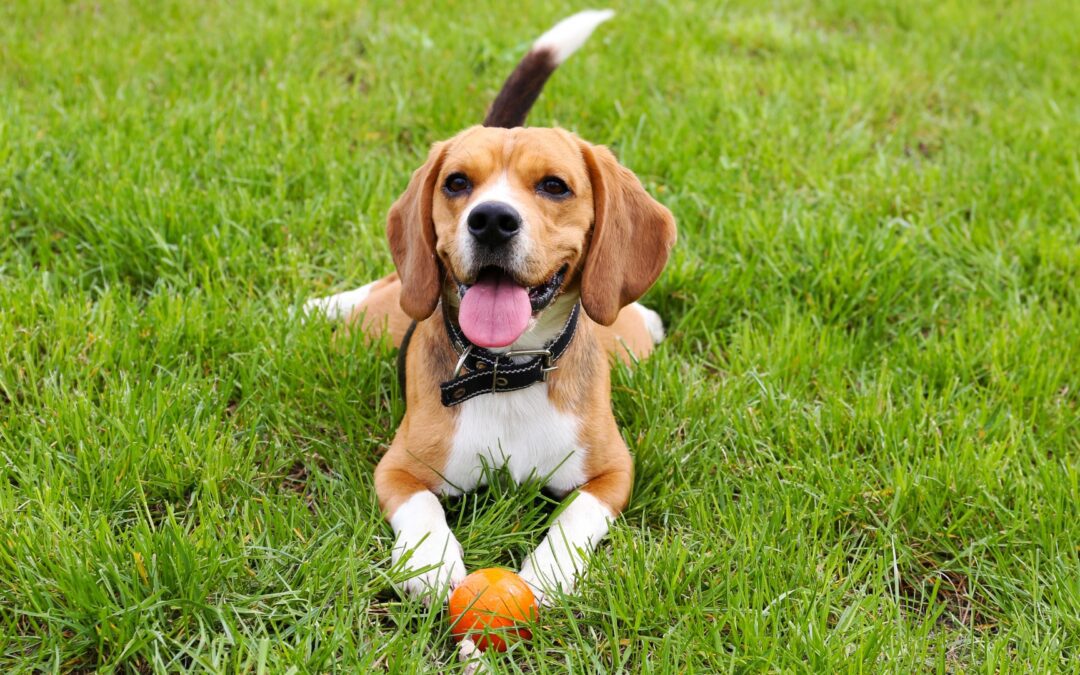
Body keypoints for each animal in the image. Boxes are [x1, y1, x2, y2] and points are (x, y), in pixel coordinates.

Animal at [306, 9, 673, 600]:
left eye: (555, 186)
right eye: (457, 182)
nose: (492, 219)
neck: (508, 372)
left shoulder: (614, 474)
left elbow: (576, 517)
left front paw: (548, 574)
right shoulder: (399, 468)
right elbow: (422, 506)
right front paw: (430, 561)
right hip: (391, 307)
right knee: (380, 290)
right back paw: (318, 306)